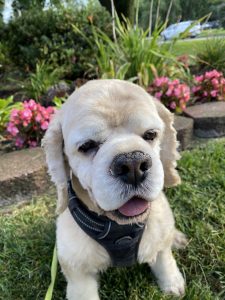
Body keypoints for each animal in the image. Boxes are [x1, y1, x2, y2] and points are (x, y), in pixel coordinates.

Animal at [42, 78, 186, 298]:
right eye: (86, 146)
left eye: (150, 134)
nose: (133, 165)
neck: (119, 228)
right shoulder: (77, 271)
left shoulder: (159, 234)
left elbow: (164, 260)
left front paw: (172, 284)